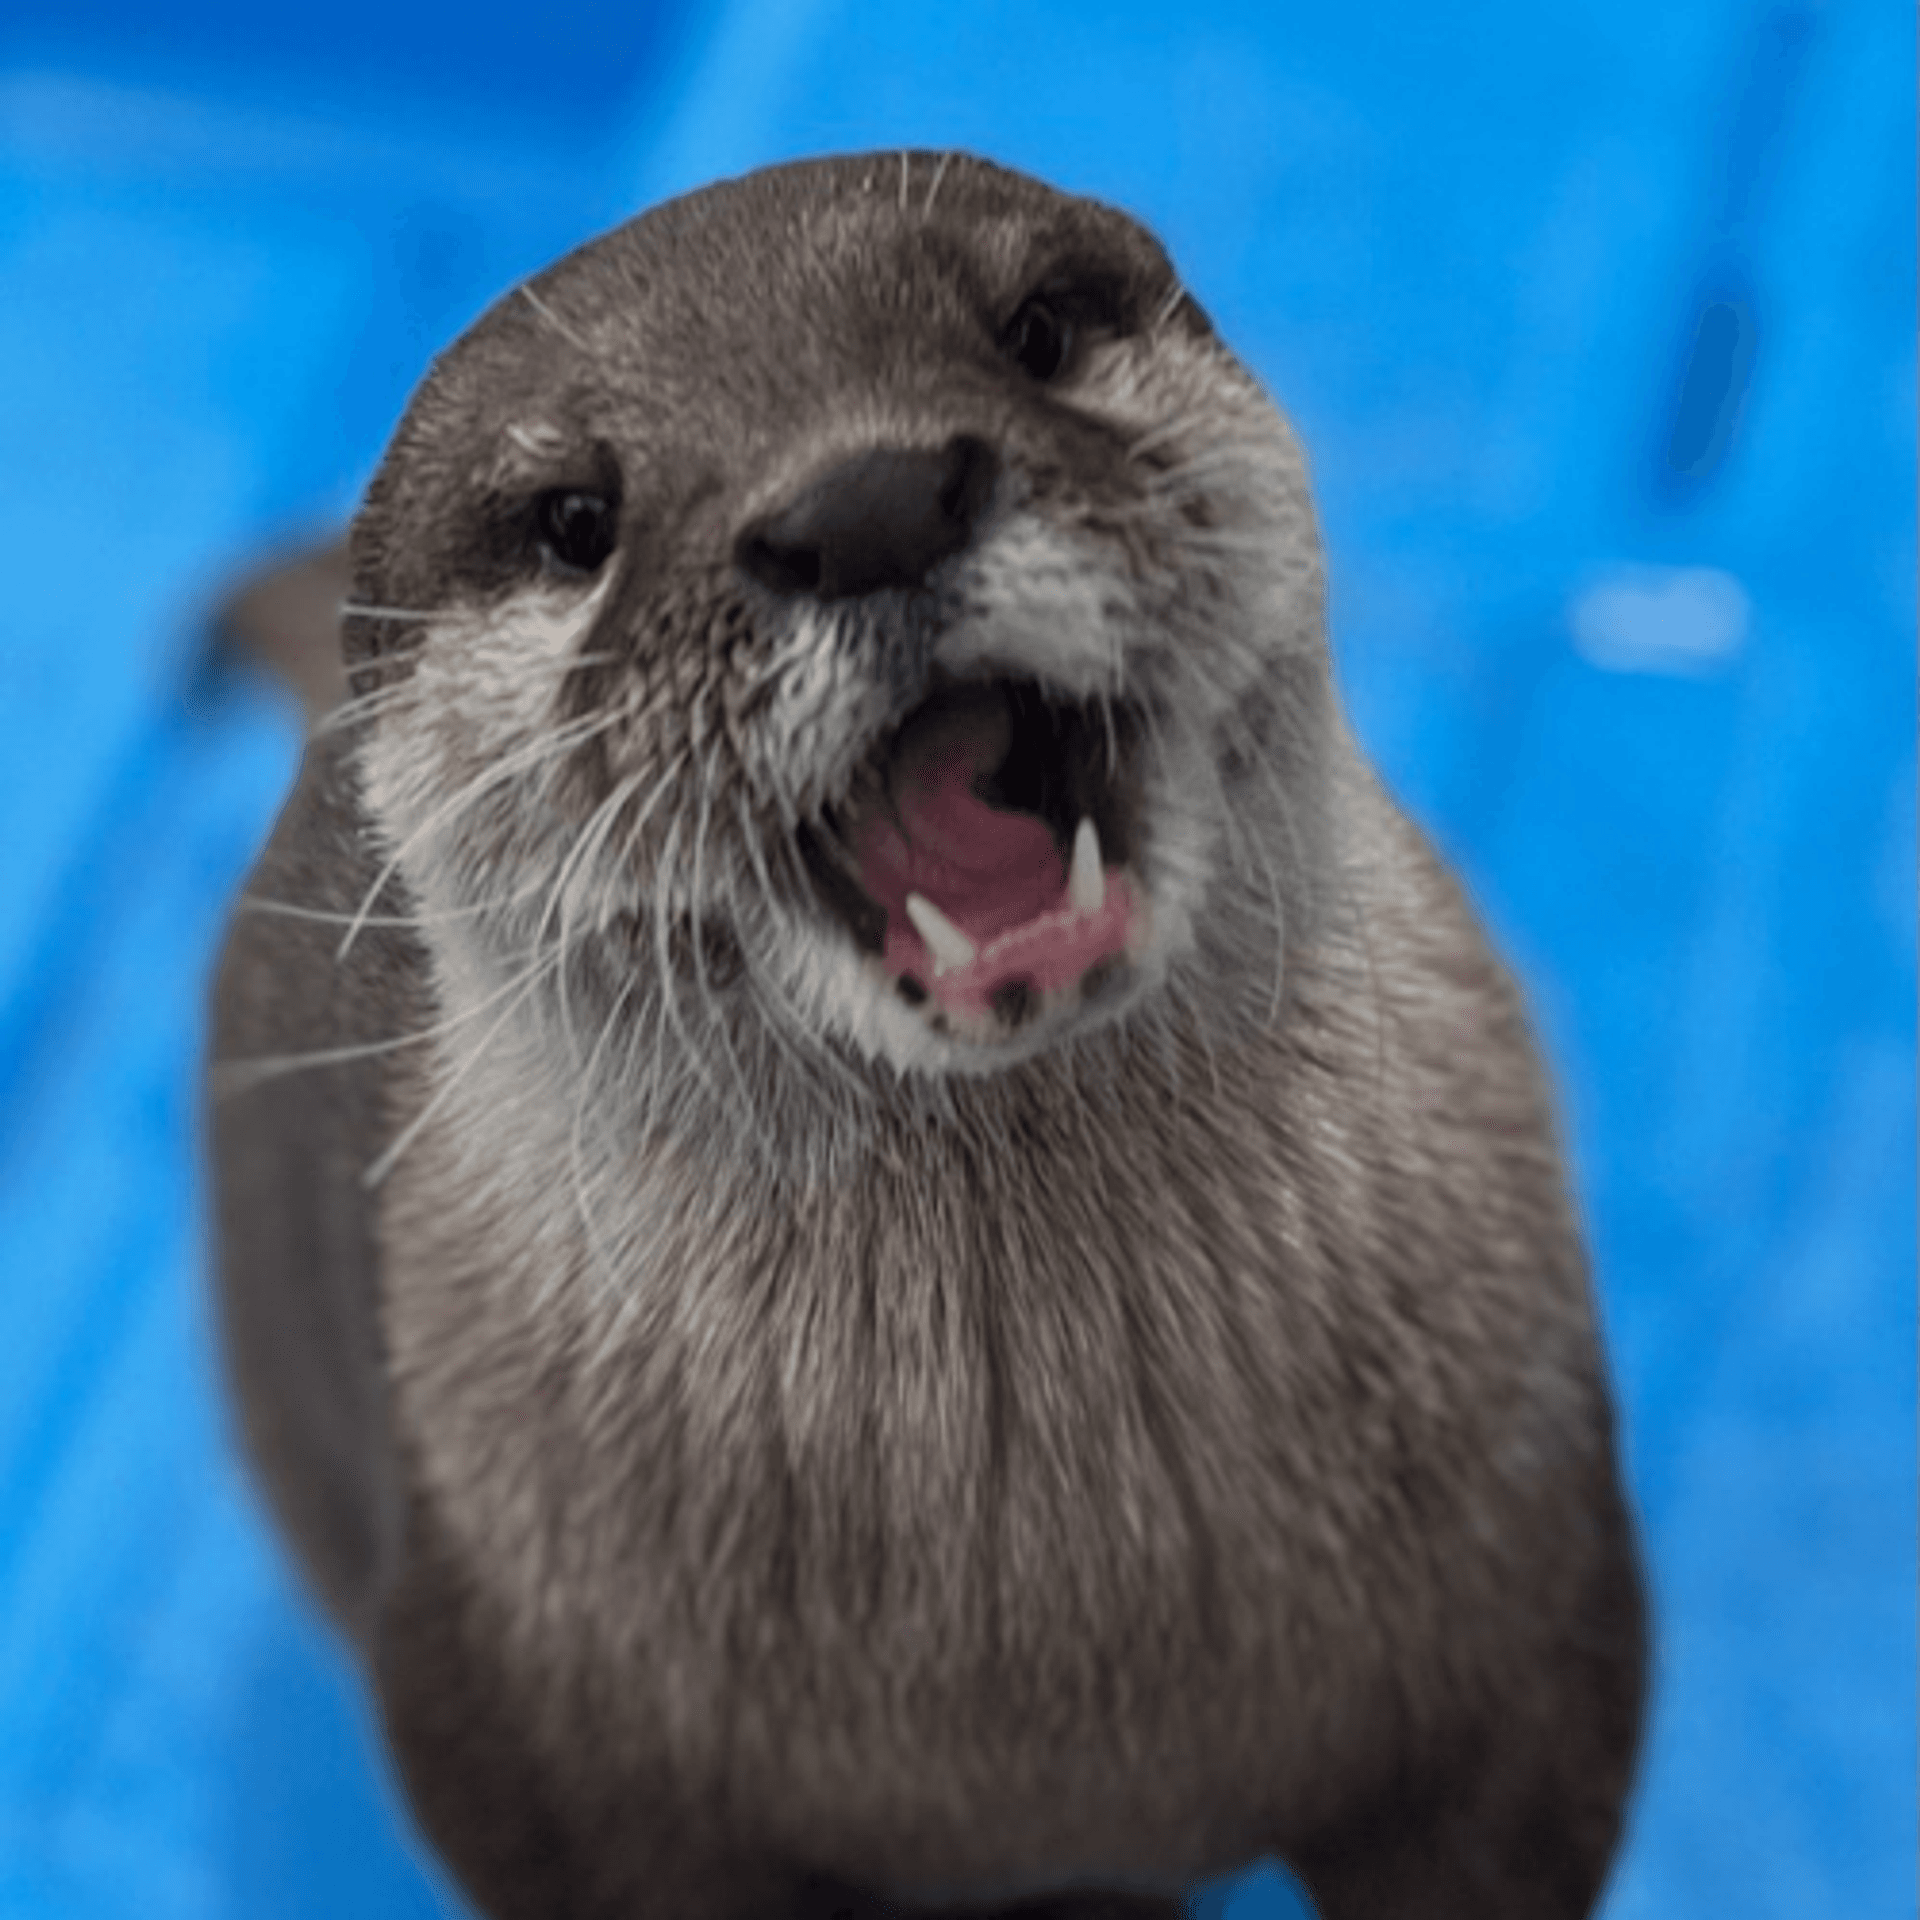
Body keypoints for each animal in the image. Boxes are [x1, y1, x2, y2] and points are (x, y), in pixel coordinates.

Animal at [210, 151, 1645, 1920]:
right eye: (574, 520)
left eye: (1033, 330)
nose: (867, 505)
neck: (1063, 1626)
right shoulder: (524, 1719)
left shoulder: (1537, 1566)